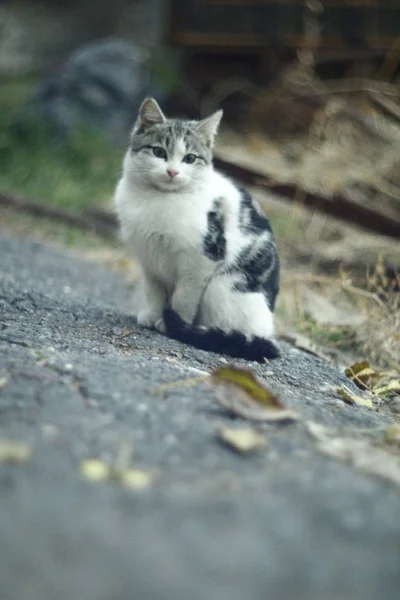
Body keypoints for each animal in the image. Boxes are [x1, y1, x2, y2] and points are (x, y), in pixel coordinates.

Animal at [114, 98, 280, 360]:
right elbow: (154, 291)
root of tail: (267, 330)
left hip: (221, 287)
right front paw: (153, 315)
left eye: (190, 159)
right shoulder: (149, 260)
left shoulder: (201, 261)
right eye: (159, 152)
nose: (172, 172)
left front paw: (172, 324)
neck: (160, 199)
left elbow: (184, 297)